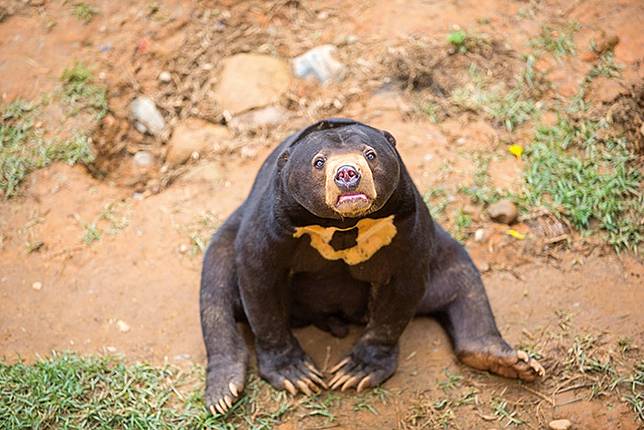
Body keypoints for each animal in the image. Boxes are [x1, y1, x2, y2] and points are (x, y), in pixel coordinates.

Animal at [199, 119, 540, 414]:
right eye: (319, 162)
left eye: (370, 155)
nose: (348, 174)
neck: (343, 224)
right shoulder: (273, 222)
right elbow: (260, 282)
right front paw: (296, 374)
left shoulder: (405, 221)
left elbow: (400, 293)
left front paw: (357, 371)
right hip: (227, 237)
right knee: (215, 293)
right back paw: (223, 392)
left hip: (443, 254)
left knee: (464, 282)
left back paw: (512, 362)